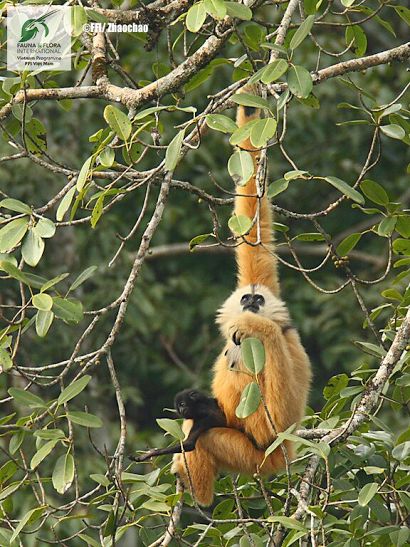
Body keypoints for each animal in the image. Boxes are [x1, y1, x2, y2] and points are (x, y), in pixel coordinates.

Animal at [171, 94, 312, 506]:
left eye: (257, 303)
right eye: (249, 296)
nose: (251, 304)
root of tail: (282, 461)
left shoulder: (285, 341)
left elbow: (275, 421)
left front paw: (256, 327)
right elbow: (254, 225)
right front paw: (250, 106)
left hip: (256, 457)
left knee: (208, 434)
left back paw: (199, 499)